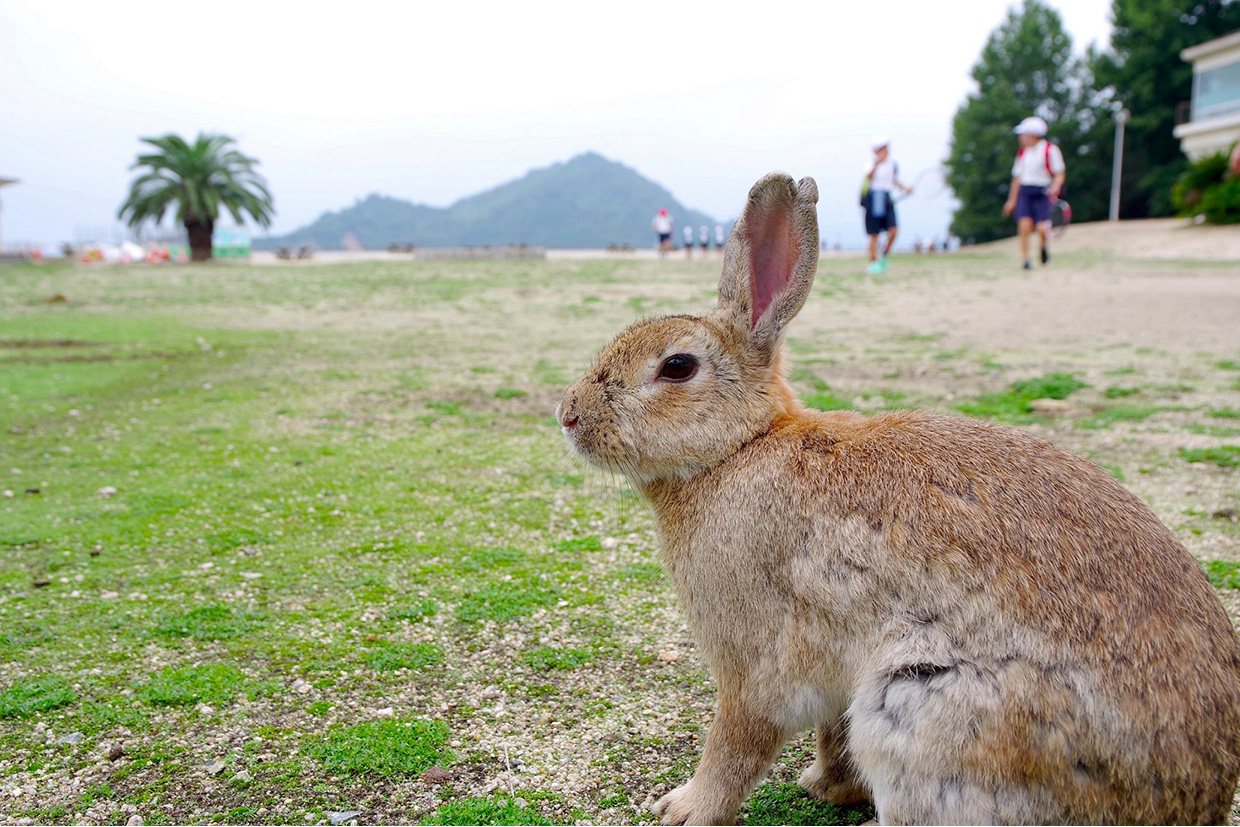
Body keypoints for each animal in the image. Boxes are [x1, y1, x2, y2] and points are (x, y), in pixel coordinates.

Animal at [558, 171, 1240, 823]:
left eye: (676, 367)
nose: (569, 415)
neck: (740, 447)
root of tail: (1190, 800)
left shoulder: (755, 659)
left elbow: (739, 739)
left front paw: (684, 809)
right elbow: (829, 735)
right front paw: (826, 785)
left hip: (922, 712)